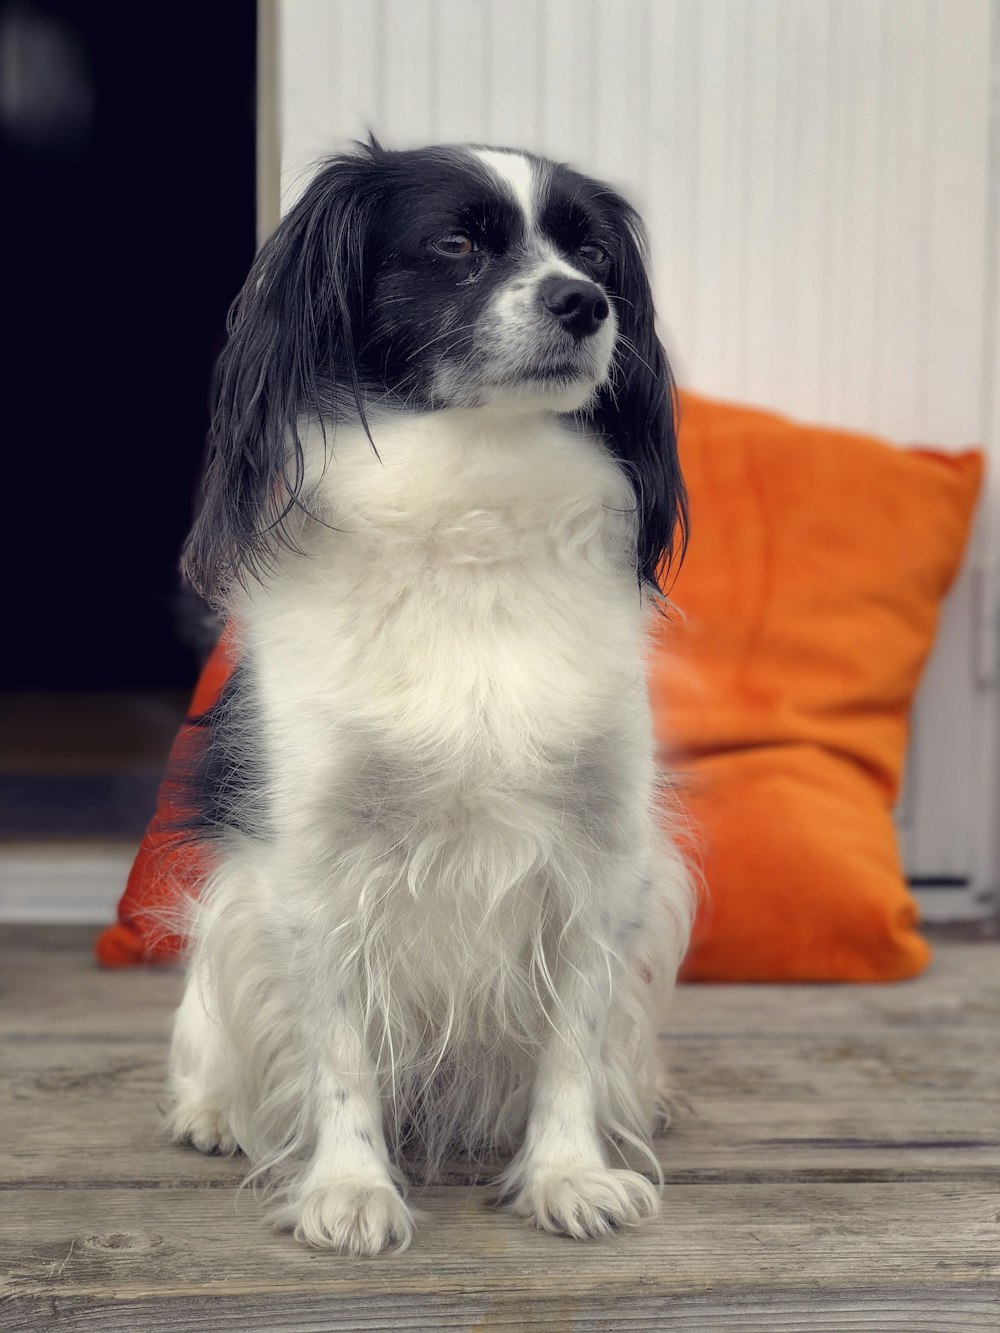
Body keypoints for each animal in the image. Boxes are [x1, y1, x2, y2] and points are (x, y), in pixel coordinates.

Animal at [168, 140, 693, 1253]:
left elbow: (574, 1038)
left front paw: (569, 1173)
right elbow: (338, 1051)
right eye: (455, 245)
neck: (475, 504)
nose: (585, 303)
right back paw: (210, 1113)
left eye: (592, 253)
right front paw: (348, 1187)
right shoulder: (311, 863)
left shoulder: (602, 851)